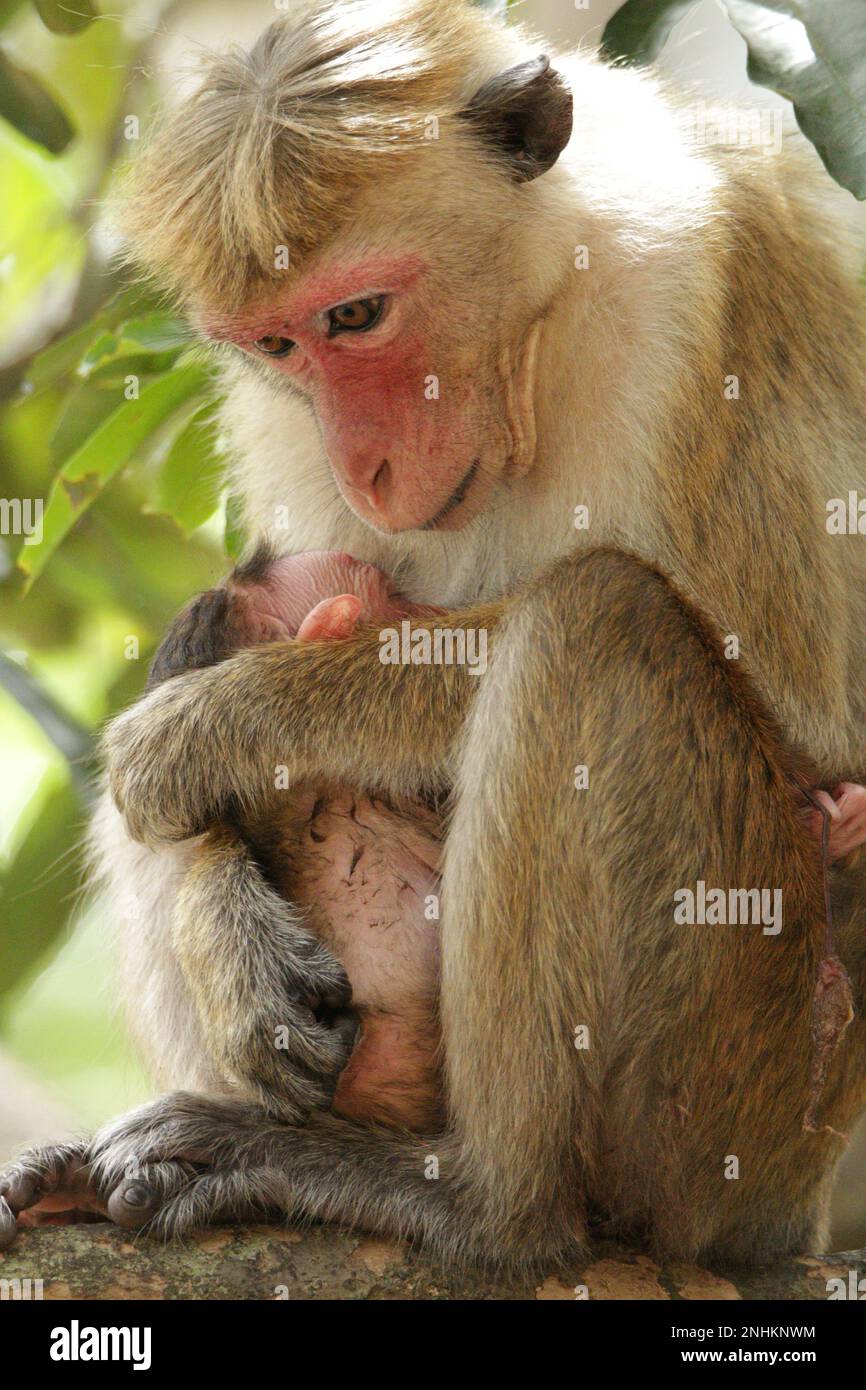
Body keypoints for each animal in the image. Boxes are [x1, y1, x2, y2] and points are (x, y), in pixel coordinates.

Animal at [4, 0, 866, 1269]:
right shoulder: (279, 427)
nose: (362, 464)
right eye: (276, 346)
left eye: (356, 315)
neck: (544, 314)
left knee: (592, 621)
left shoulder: (708, 295)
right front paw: (226, 923)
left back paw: (482, 1203)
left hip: (743, 1090)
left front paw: (228, 721)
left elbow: (816, 732)